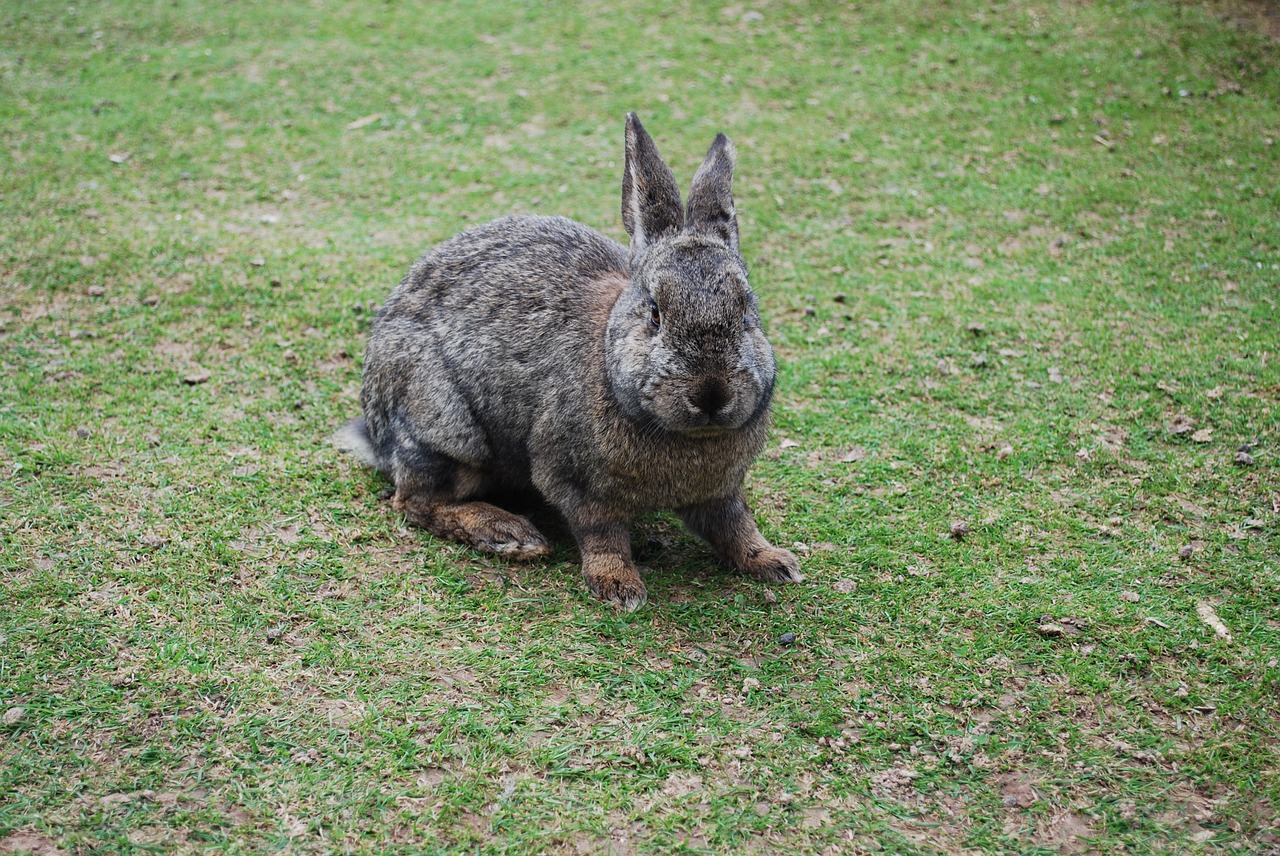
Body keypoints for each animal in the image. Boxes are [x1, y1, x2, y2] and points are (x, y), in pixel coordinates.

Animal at [337, 113, 798, 606]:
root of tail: (376, 431)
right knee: (416, 502)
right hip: (447, 427)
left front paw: (773, 561)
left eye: (747, 310)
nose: (712, 394)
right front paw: (618, 586)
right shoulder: (573, 480)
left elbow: (735, 525)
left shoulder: (720, 491)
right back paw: (511, 535)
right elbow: (601, 533)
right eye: (655, 313)